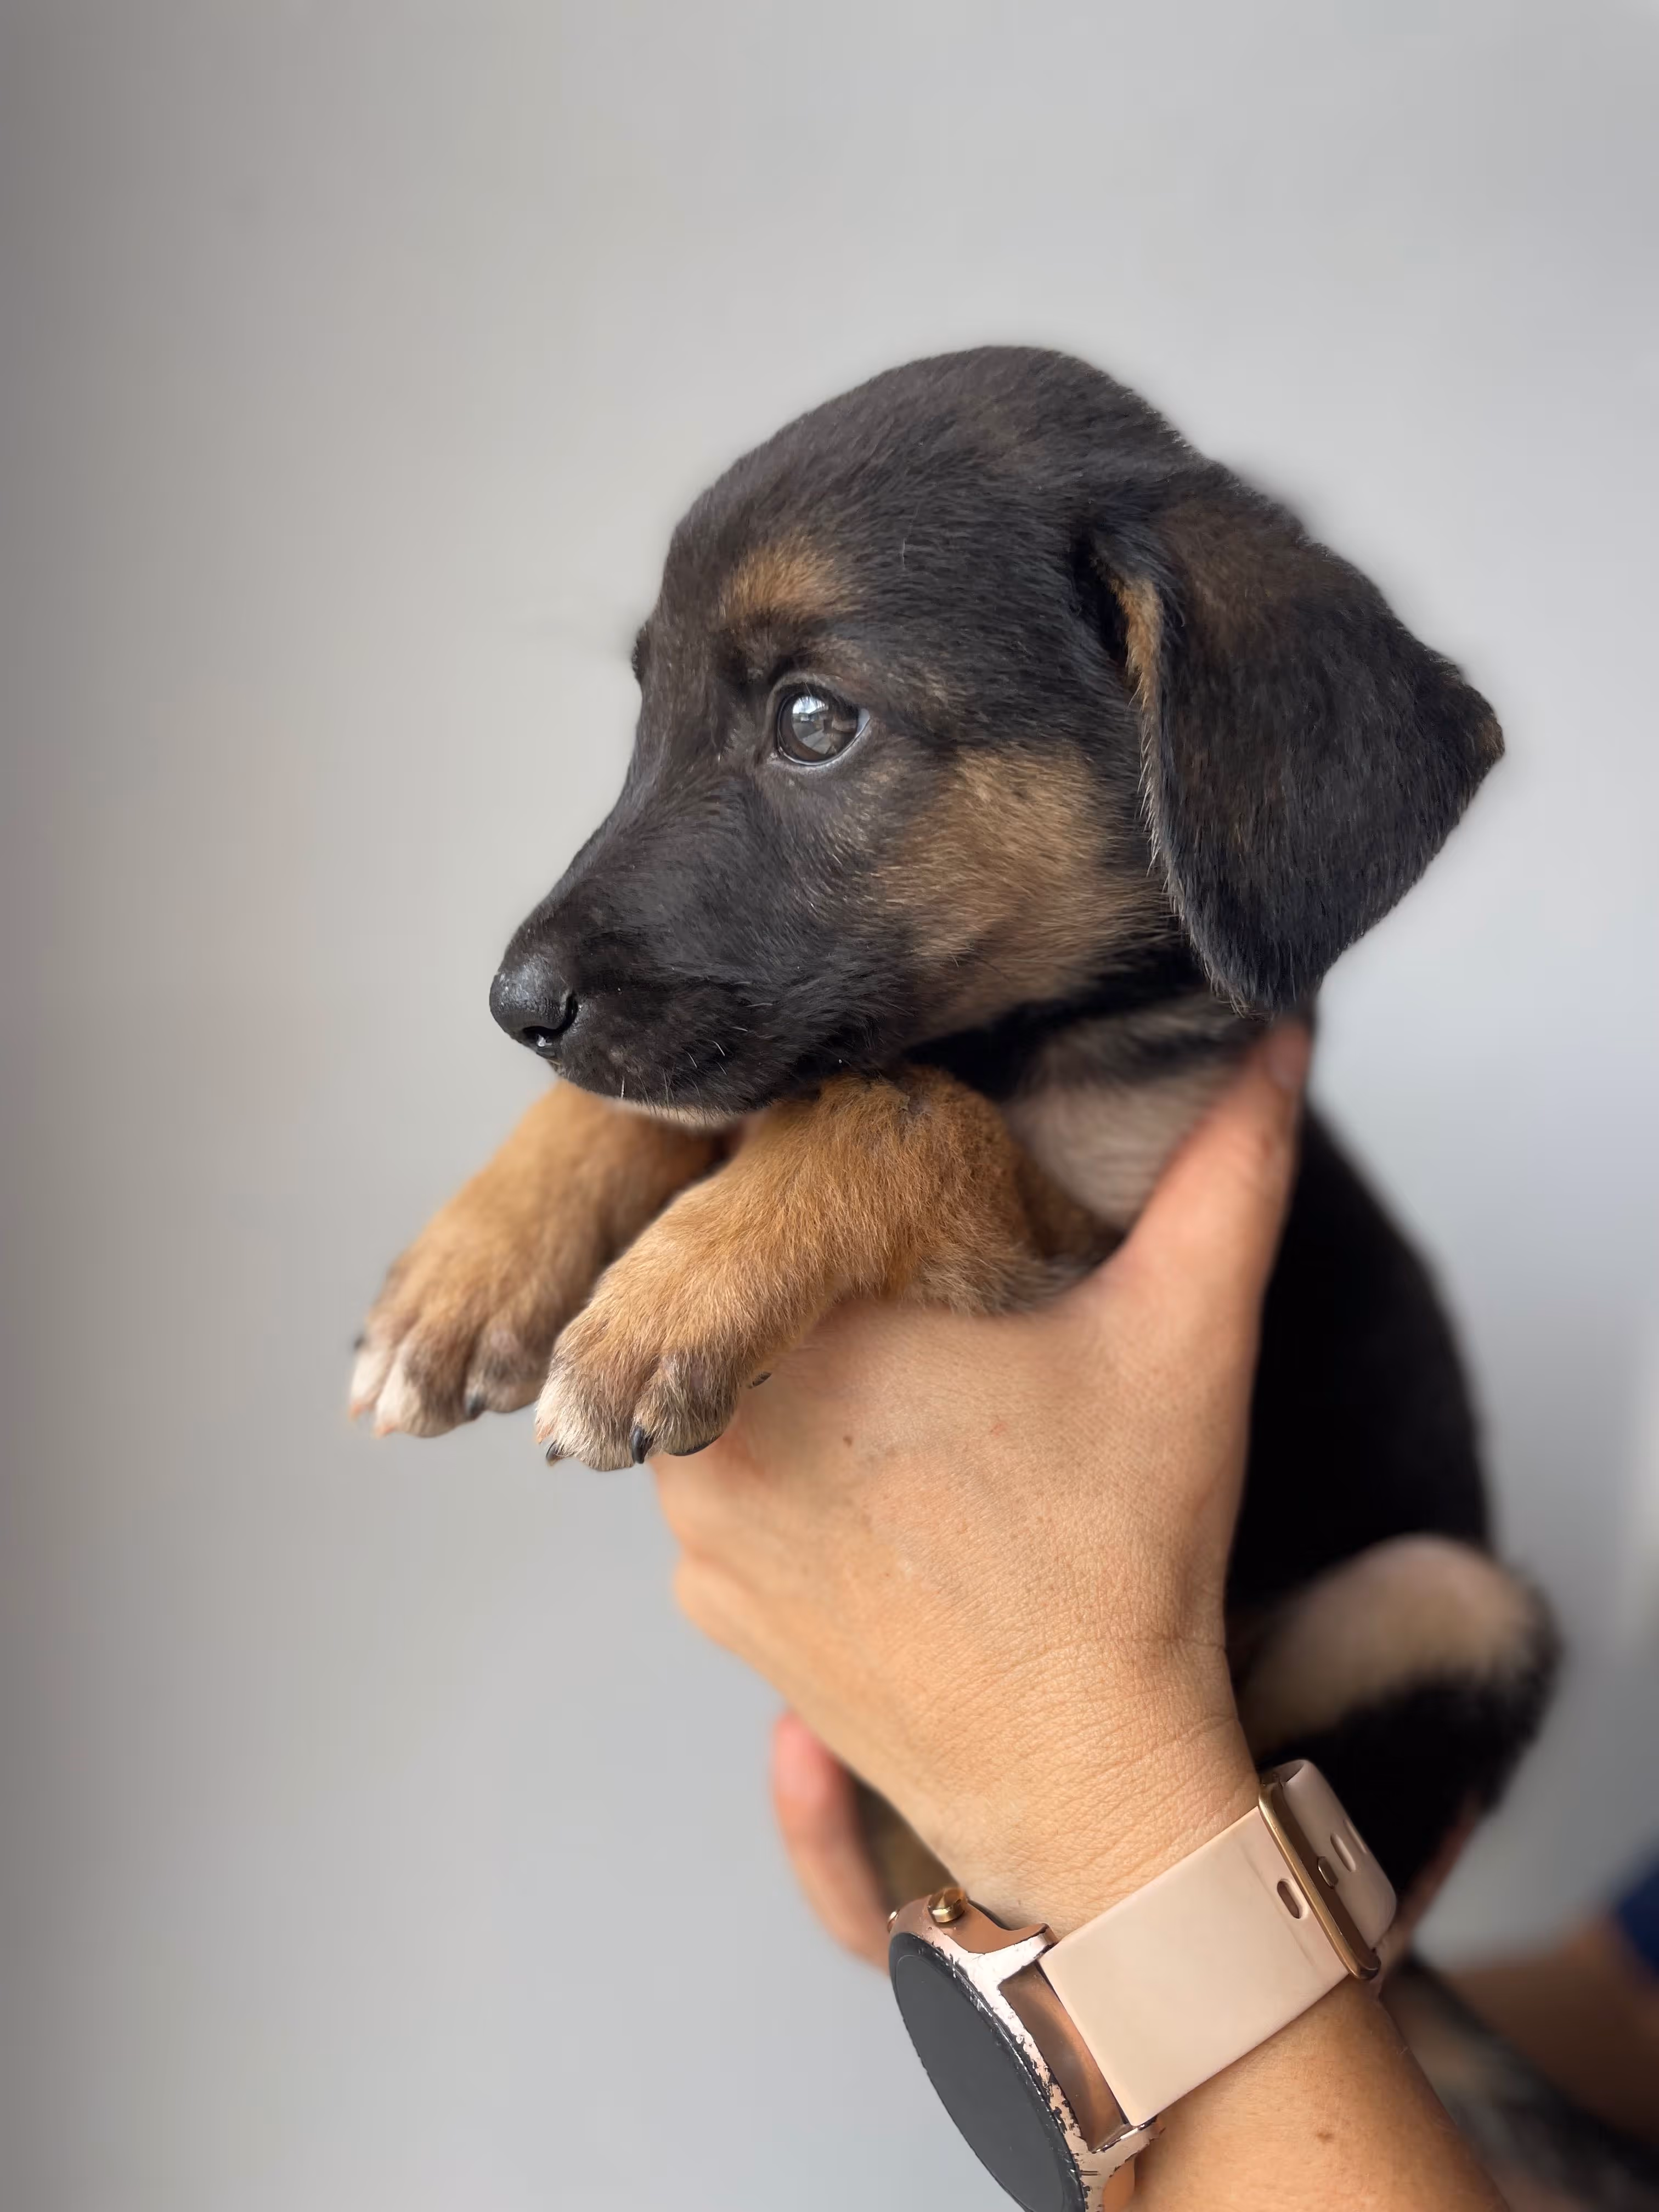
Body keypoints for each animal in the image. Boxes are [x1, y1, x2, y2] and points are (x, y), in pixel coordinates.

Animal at [350, 346, 1556, 1908]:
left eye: (814, 721)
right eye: (644, 713)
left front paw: (677, 1290)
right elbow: (666, 1101)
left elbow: (894, 1105)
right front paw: (467, 1269)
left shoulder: (1085, 1225)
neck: (1010, 1032)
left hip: (1443, 1600)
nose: (514, 1005)